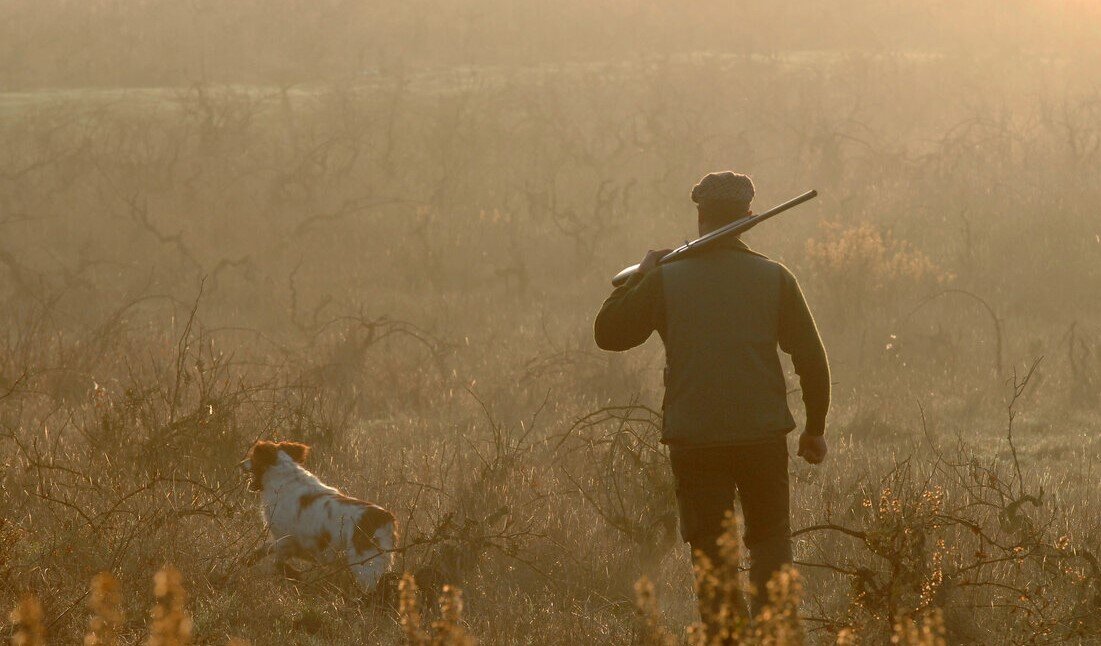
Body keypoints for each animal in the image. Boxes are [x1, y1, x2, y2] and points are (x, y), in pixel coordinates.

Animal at [241, 440, 396, 589]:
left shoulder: (286, 540)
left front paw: (295, 575)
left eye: (253, 457)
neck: (284, 478)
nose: (241, 463)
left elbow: (278, 562)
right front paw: (248, 560)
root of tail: (385, 517)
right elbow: (265, 549)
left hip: (366, 568)